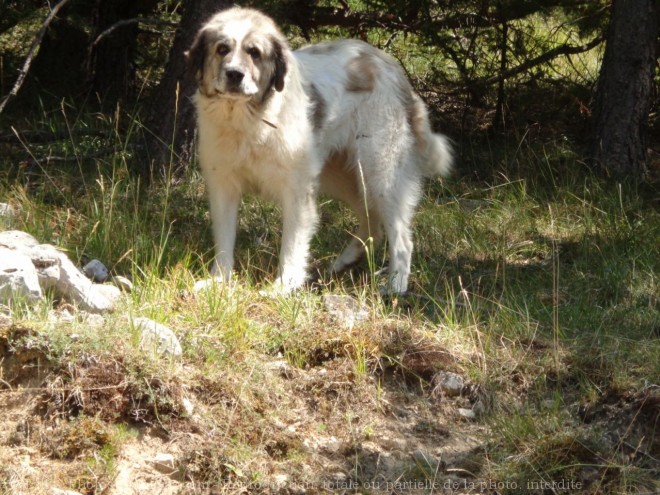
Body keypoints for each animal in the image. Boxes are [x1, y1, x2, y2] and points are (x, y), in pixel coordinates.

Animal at [188, 6, 452, 294]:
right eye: (222, 49)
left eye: (254, 52)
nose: (235, 74)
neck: (248, 120)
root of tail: (391, 67)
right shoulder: (223, 187)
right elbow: (224, 241)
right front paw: (217, 281)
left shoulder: (297, 191)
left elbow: (291, 246)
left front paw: (283, 287)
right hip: (343, 177)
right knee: (372, 222)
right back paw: (346, 261)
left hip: (380, 174)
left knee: (401, 237)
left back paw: (396, 285)